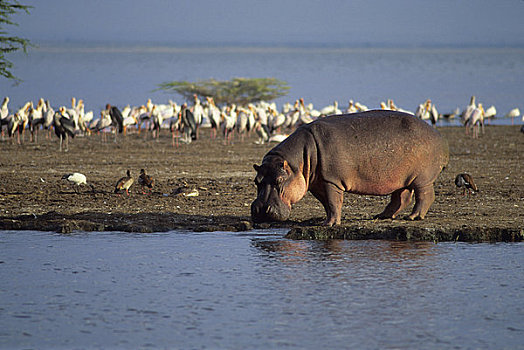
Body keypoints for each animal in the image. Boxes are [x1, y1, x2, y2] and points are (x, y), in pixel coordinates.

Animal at [252, 110, 448, 227]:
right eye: (256, 181)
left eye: (279, 180)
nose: (260, 210)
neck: (298, 161)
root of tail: (438, 136)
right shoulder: (318, 184)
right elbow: (327, 204)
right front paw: (327, 221)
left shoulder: (332, 181)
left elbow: (333, 202)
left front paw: (329, 224)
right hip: (401, 178)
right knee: (401, 198)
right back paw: (381, 216)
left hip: (422, 178)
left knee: (425, 196)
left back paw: (413, 217)